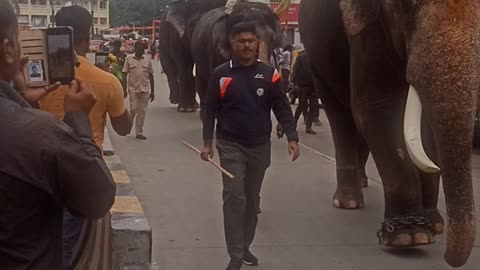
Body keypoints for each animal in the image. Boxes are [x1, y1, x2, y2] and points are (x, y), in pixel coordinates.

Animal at [300, 0, 480, 266]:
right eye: (408, 6)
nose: (449, 258)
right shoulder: (366, 29)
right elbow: (373, 108)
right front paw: (410, 237)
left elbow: (424, 129)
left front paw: (434, 223)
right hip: (317, 61)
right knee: (341, 115)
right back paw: (348, 201)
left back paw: (363, 183)